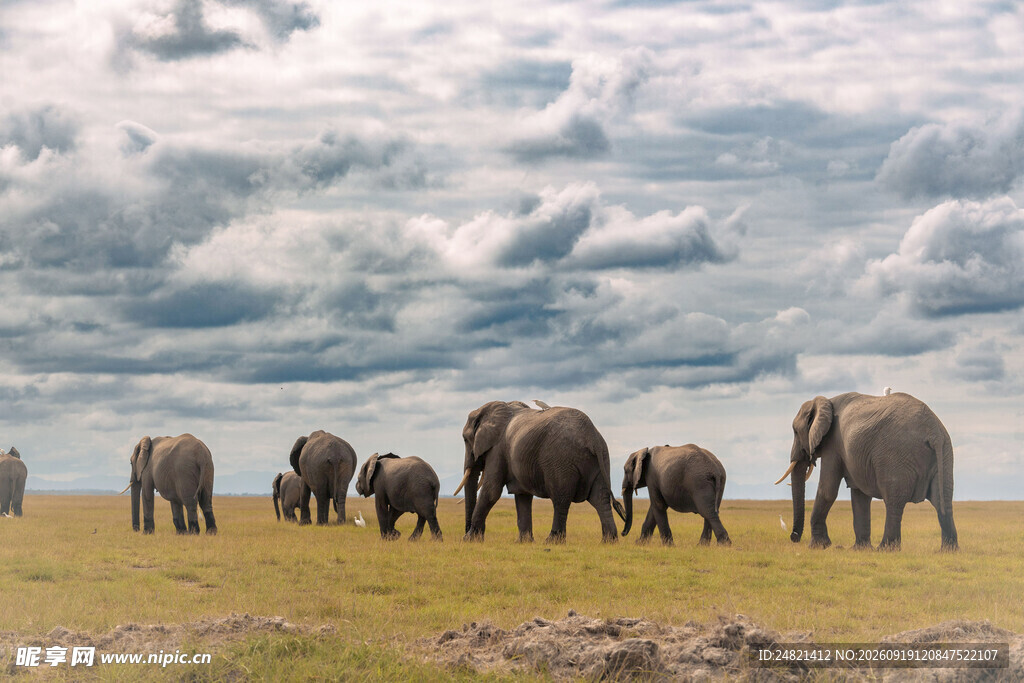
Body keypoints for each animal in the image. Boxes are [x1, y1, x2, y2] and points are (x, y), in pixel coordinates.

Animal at [455, 400, 626, 543]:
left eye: (465, 439)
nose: (467, 530)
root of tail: (592, 437)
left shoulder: (497, 449)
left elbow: (491, 491)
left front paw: (469, 540)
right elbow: (522, 495)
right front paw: (523, 542)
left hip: (560, 460)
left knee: (561, 499)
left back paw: (552, 541)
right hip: (602, 458)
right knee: (600, 498)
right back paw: (609, 541)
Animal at [776, 391, 957, 551]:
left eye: (795, 431)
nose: (793, 537)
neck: (825, 401)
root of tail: (933, 432)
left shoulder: (833, 445)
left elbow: (827, 490)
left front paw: (818, 547)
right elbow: (860, 495)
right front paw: (859, 549)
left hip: (896, 456)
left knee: (894, 502)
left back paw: (885, 549)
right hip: (945, 453)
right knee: (943, 500)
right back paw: (948, 551)